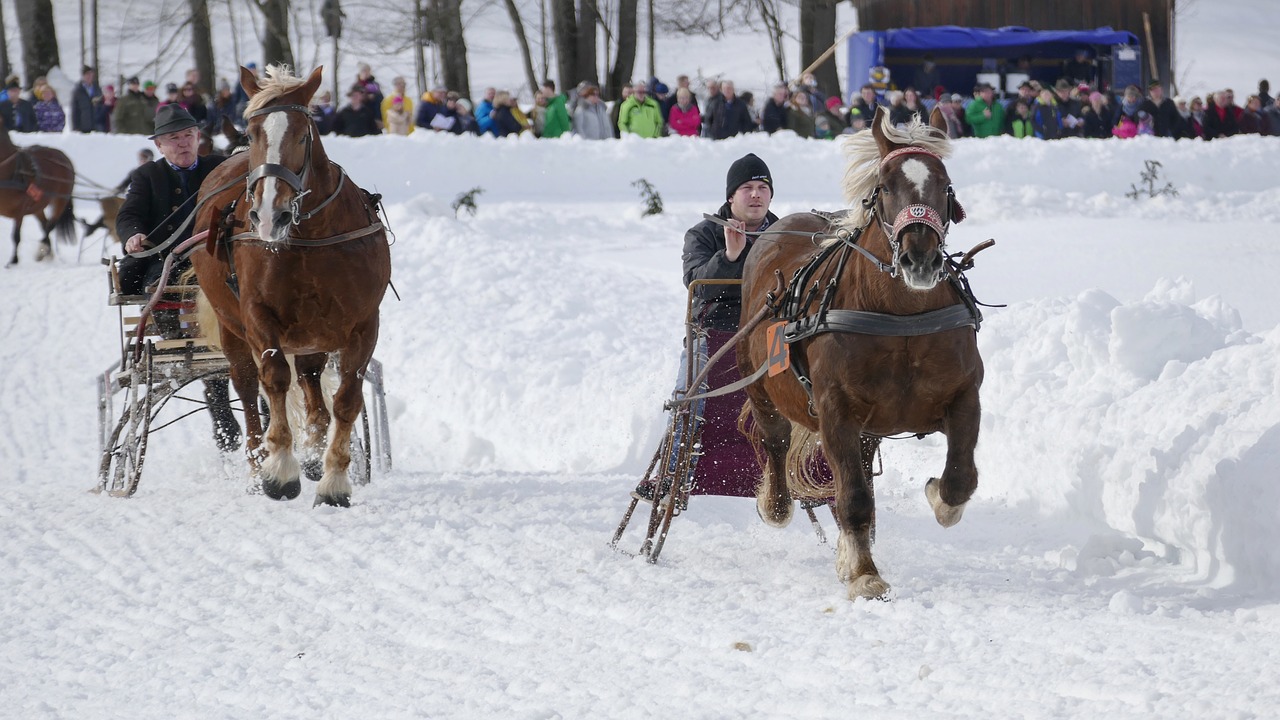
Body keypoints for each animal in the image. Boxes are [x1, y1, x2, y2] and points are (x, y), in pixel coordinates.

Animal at [0, 116, 75, 265]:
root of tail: (64, 157)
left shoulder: (20, 210)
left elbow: (16, 236)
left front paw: (14, 261)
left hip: (61, 200)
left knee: (50, 225)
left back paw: (42, 251)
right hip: (38, 205)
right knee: (45, 224)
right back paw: (47, 252)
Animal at [189, 65, 389, 504]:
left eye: (302, 134)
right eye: (253, 134)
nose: (269, 215)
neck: (311, 237)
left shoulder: (364, 323)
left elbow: (346, 399)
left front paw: (333, 478)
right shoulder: (257, 314)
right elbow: (275, 378)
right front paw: (280, 469)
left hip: (314, 334)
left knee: (312, 383)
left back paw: (313, 450)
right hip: (232, 328)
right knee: (248, 389)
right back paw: (255, 462)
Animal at [742, 105, 977, 599]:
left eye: (944, 183)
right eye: (884, 186)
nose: (920, 259)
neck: (901, 315)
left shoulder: (965, 394)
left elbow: (960, 480)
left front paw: (935, 494)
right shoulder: (836, 410)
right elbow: (851, 496)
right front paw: (864, 573)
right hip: (759, 385)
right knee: (776, 441)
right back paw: (775, 503)